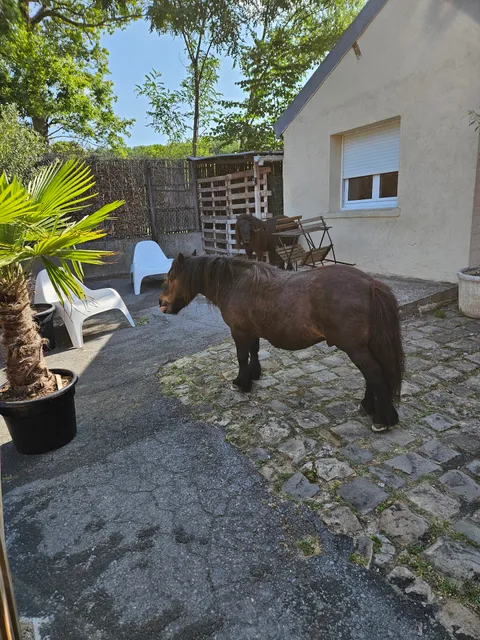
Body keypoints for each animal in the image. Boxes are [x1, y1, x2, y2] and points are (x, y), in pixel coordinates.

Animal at [160, 255, 404, 432]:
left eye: (170, 279)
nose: (161, 303)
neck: (235, 283)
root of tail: (371, 284)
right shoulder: (251, 331)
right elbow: (254, 351)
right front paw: (254, 375)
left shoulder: (239, 332)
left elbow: (242, 357)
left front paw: (241, 383)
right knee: (373, 374)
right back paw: (368, 406)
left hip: (355, 348)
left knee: (374, 373)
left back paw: (382, 419)